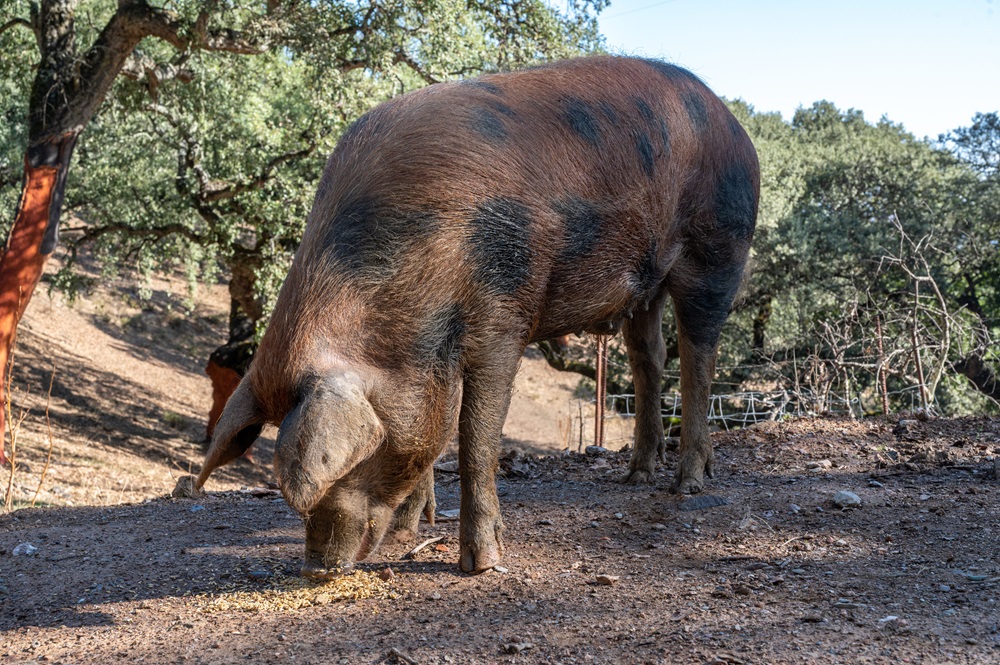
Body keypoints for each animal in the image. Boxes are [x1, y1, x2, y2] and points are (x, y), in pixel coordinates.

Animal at [193, 55, 756, 576]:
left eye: (357, 457)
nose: (316, 567)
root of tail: (731, 121)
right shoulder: (427, 363)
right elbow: (433, 427)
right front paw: (412, 527)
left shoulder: (504, 317)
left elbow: (476, 437)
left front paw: (481, 563)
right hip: (646, 284)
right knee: (649, 357)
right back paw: (637, 475)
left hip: (718, 248)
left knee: (699, 357)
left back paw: (687, 485)